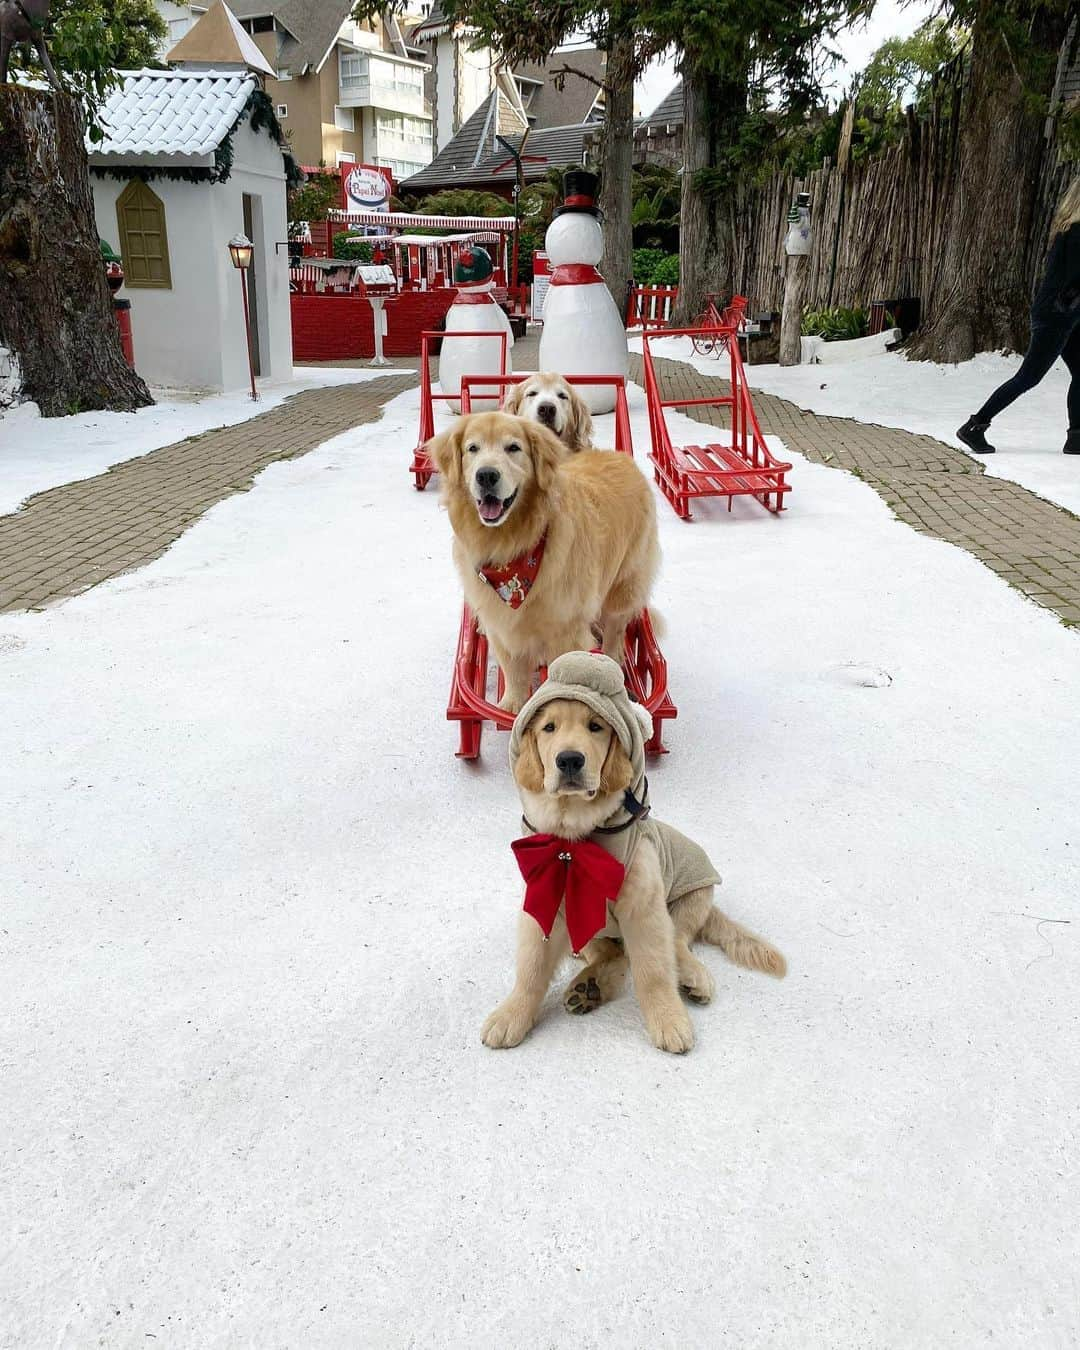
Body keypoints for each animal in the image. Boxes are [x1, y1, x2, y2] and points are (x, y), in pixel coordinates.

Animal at [426, 413, 653, 712]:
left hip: (624, 585)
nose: (486, 475)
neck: (510, 548)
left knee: (616, 630)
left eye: (513, 448)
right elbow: (513, 671)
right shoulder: (501, 625)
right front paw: (511, 704)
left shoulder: (567, 629)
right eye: (472, 448)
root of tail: (622, 457)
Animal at [480, 653, 783, 1053]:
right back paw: (588, 987)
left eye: (595, 727)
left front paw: (669, 1020)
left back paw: (691, 977)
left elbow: (654, 970)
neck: (576, 839)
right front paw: (511, 1015)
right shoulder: (545, 904)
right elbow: (530, 968)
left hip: (692, 896)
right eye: (549, 727)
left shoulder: (644, 909)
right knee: (612, 951)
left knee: (676, 942)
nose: (569, 760)